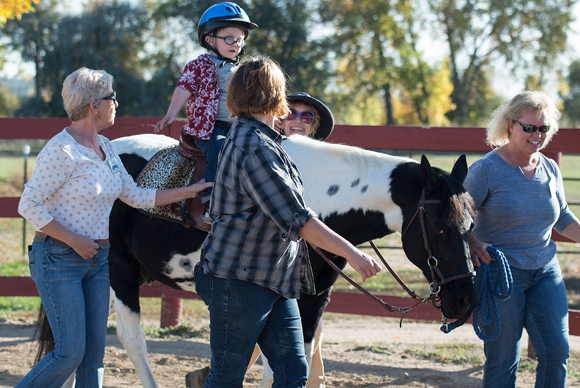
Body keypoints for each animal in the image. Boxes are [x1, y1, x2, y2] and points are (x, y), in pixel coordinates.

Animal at [42, 134, 476, 388]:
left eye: (470, 224)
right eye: (440, 228)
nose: (466, 301)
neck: (314, 199)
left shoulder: (314, 298)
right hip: (118, 270)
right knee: (131, 341)